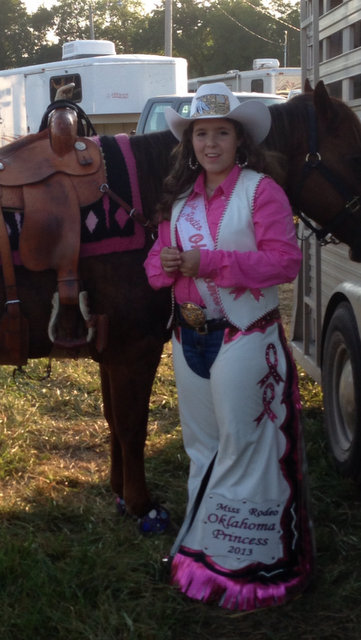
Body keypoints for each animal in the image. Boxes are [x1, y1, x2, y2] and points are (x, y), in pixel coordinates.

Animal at [0, 80, 358, 532]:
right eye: (354, 154)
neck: (138, 195)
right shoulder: (135, 348)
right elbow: (132, 426)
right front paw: (142, 506)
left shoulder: (111, 349)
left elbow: (114, 420)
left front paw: (120, 492)